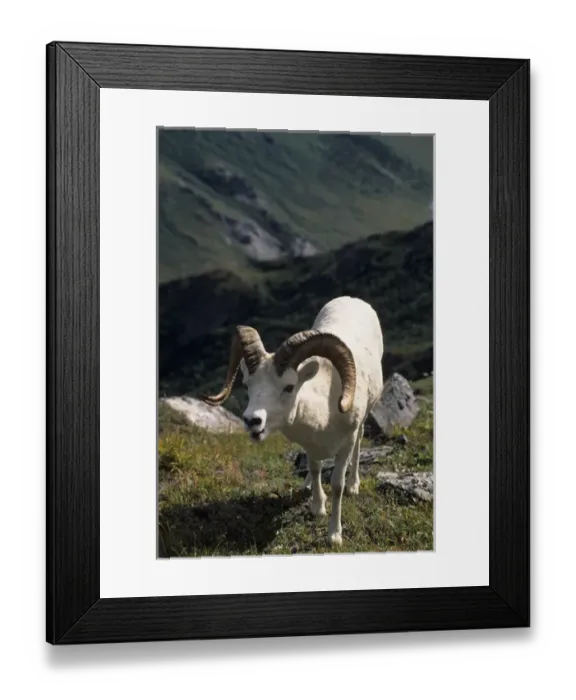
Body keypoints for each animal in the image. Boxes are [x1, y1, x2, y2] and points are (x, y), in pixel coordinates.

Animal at [201, 296, 384, 547]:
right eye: (247, 385)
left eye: (289, 387)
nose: (252, 421)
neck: (325, 408)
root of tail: (353, 300)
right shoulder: (311, 446)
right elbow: (315, 470)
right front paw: (317, 506)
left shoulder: (345, 443)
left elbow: (337, 484)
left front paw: (334, 535)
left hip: (362, 423)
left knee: (359, 444)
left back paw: (354, 485)